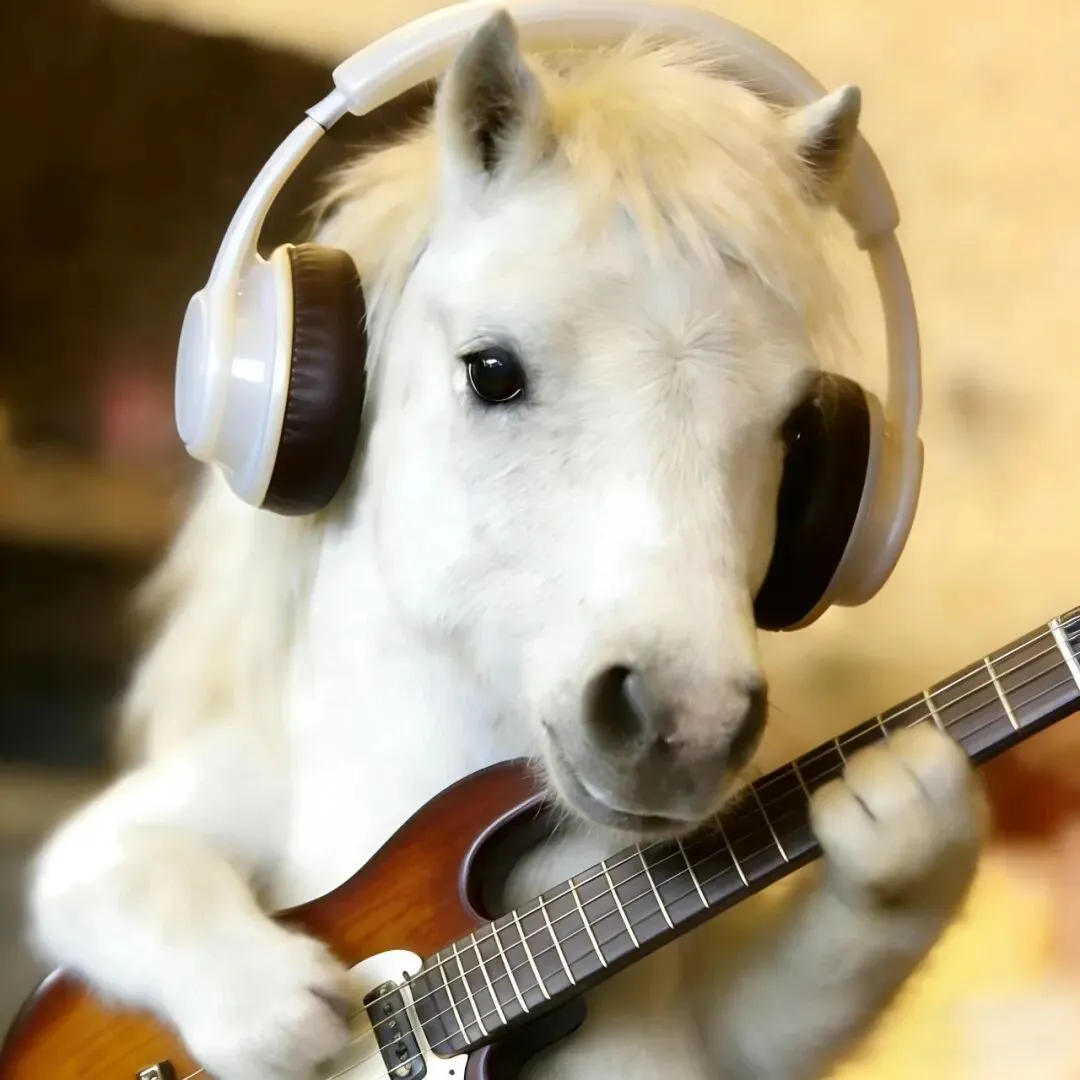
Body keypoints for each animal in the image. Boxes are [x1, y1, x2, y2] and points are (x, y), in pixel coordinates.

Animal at [25, 12, 984, 1080]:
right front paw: (269, 1006)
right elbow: (105, 864)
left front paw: (908, 812)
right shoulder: (205, 789)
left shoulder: (713, 1037)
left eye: (795, 426)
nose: (684, 727)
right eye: (491, 370)